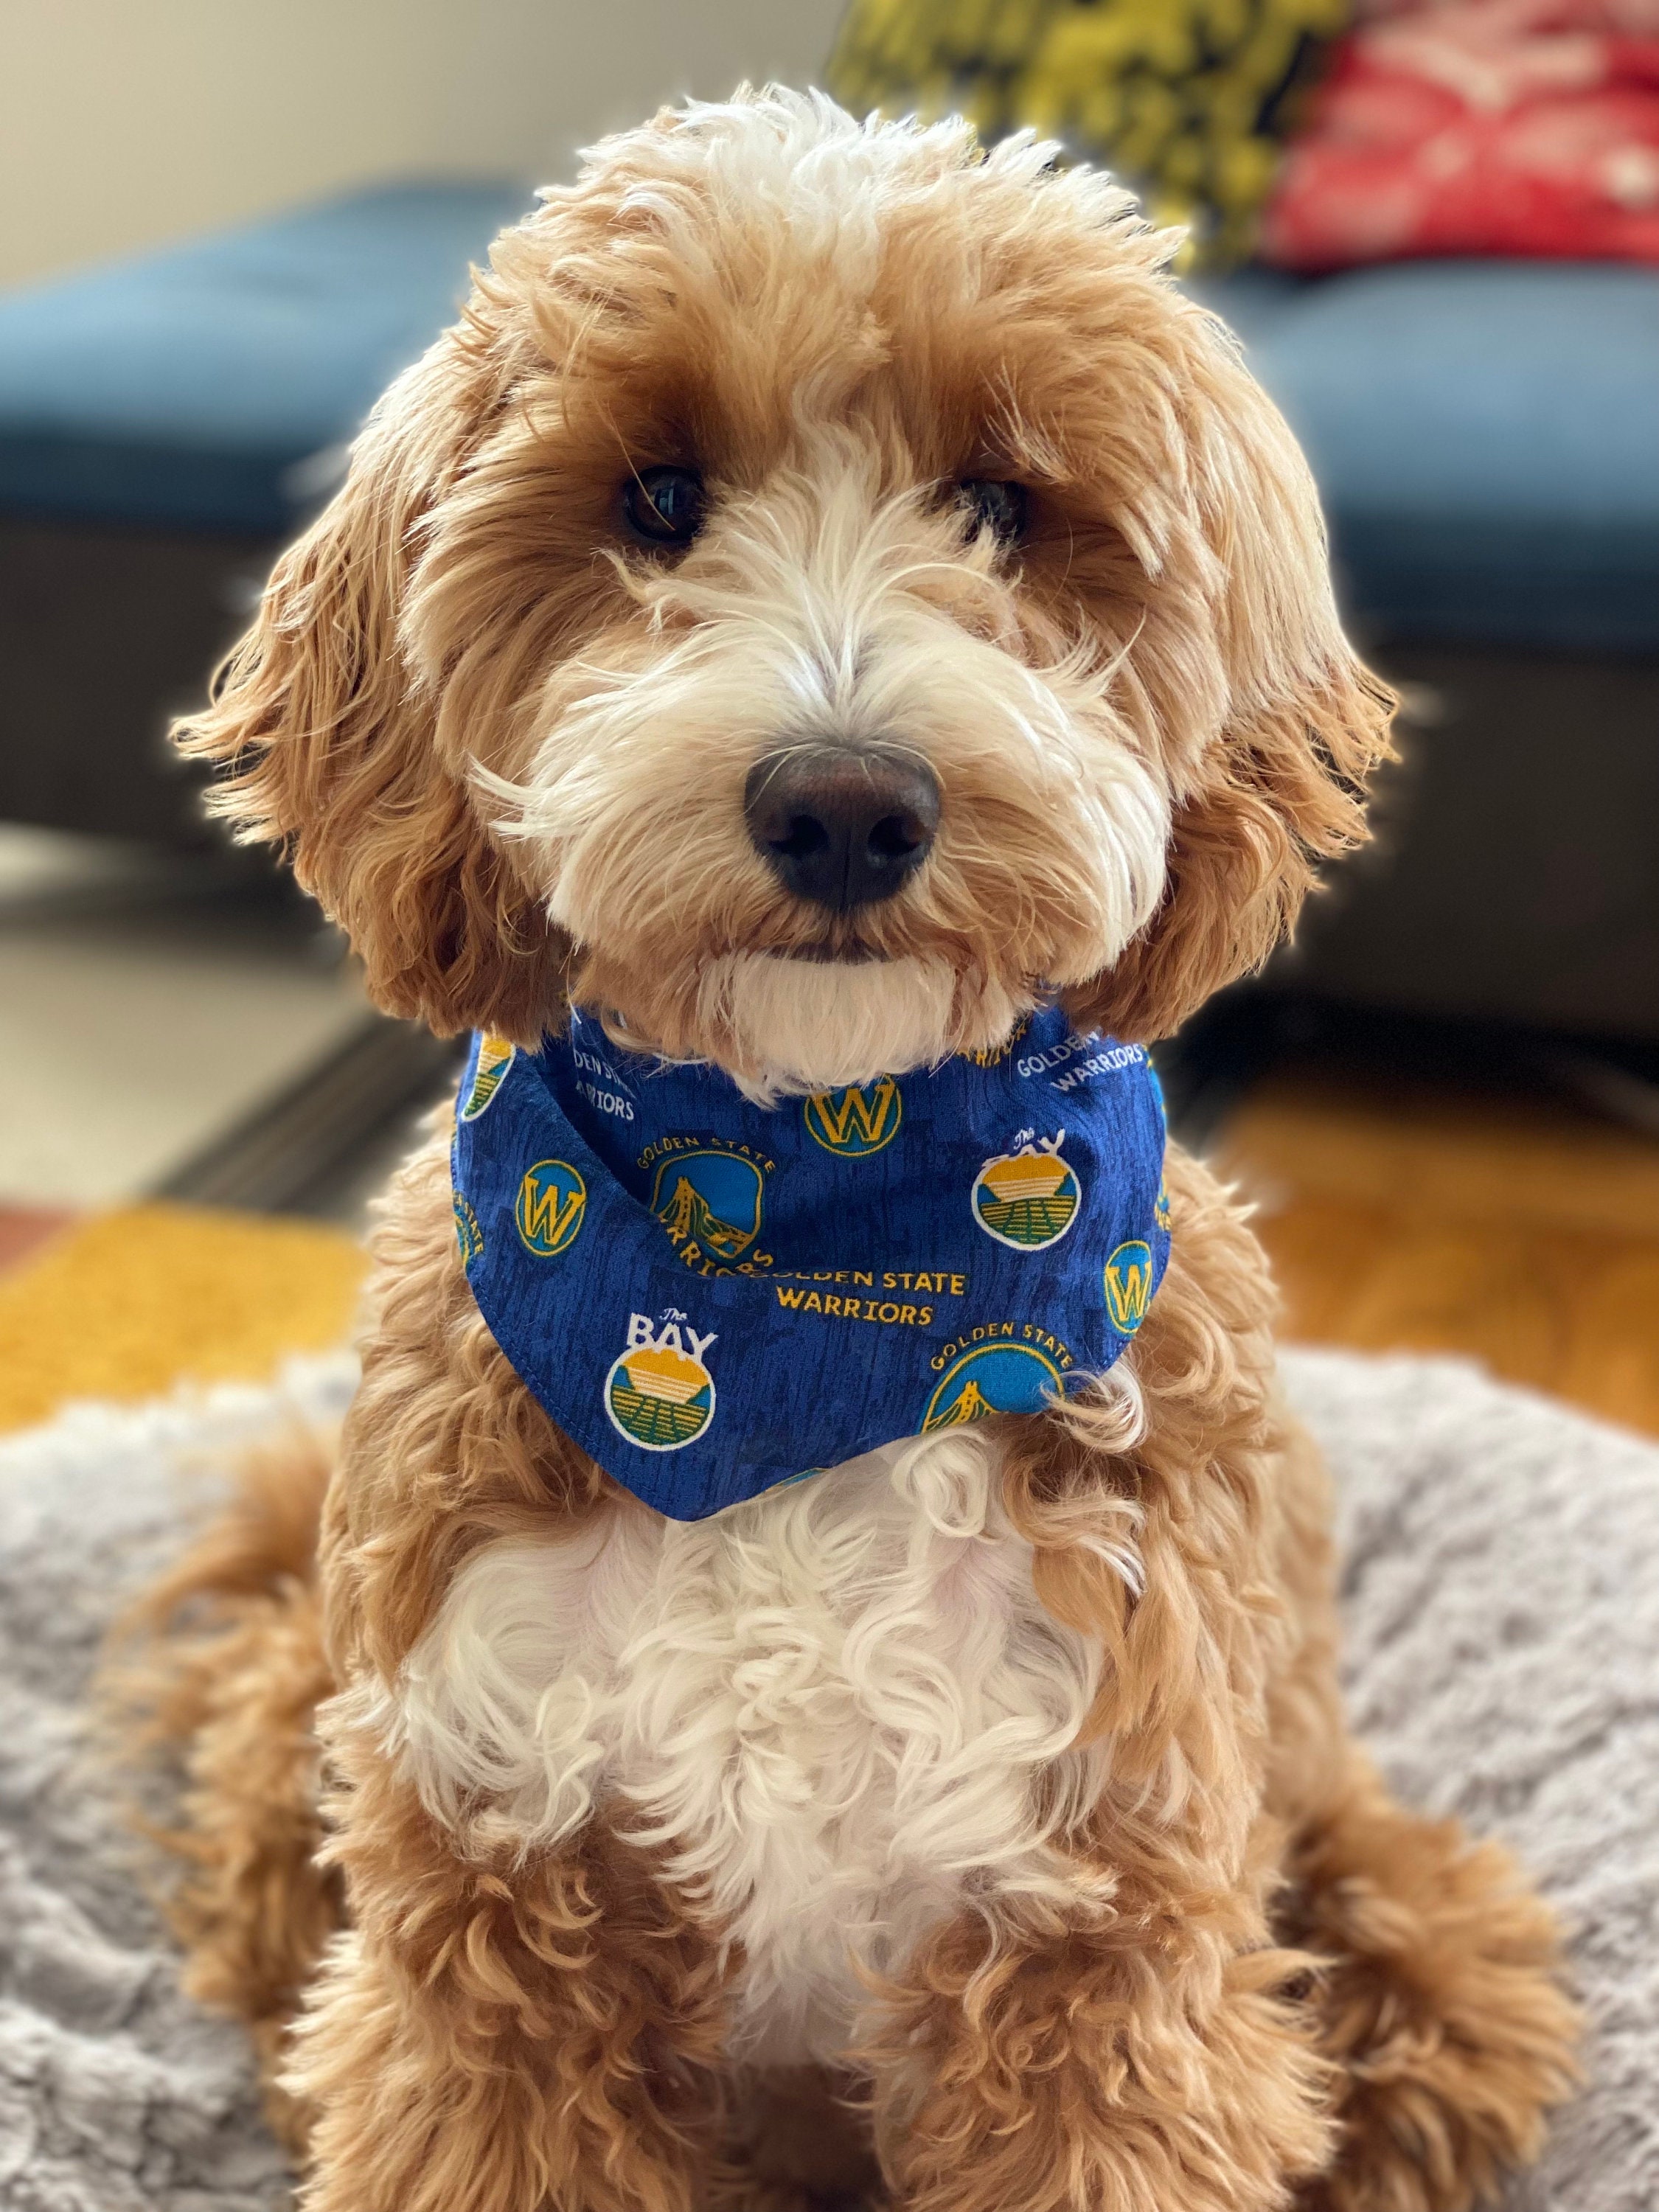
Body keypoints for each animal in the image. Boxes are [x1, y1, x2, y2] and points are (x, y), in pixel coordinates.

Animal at [123, 91, 1575, 2212]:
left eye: (1001, 506)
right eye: (657, 498)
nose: (841, 803)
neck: (806, 1262)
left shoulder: (1101, 1920)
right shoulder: (495, 1899)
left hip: (1380, 1903)